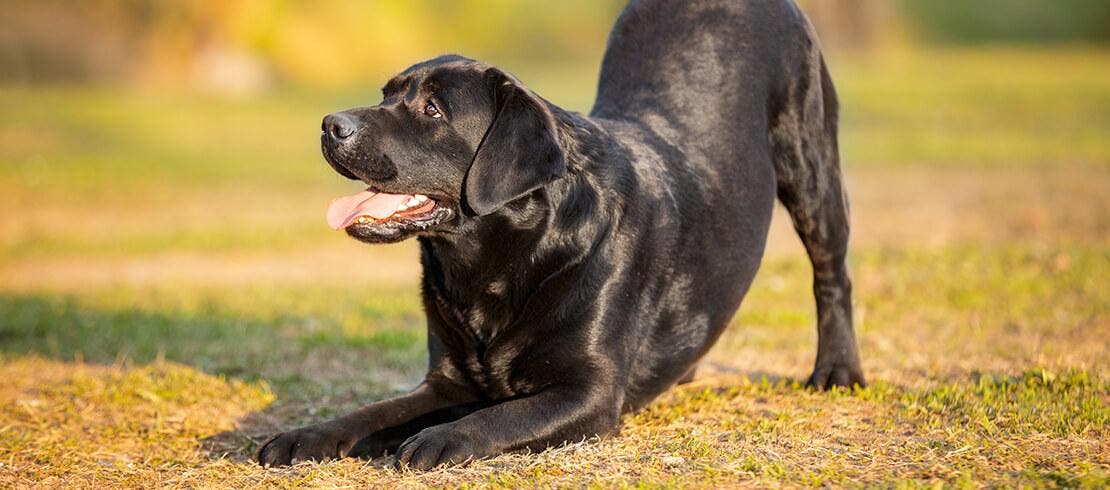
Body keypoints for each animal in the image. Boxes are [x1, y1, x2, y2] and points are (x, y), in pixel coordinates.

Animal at [261, 0, 865, 468]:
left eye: (433, 110)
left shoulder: (587, 394)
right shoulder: (447, 382)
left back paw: (837, 371)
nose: (331, 125)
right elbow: (371, 412)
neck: (498, 265)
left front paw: (437, 439)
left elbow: (499, 418)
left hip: (811, 165)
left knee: (831, 273)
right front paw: (301, 436)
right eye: (386, 95)